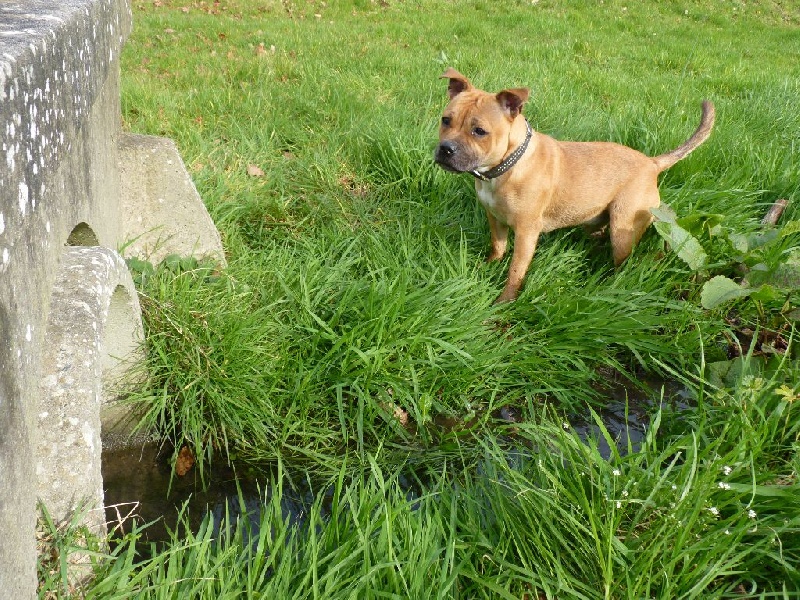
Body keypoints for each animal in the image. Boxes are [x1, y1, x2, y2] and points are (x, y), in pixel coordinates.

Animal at [434, 68, 716, 302]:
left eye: (479, 131)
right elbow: (497, 247)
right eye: (446, 120)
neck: (507, 165)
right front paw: (489, 266)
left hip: (623, 229)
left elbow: (515, 271)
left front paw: (505, 300)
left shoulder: (526, 233)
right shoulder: (495, 219)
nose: (445, 149)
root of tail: (651, 163)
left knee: (623, 262)